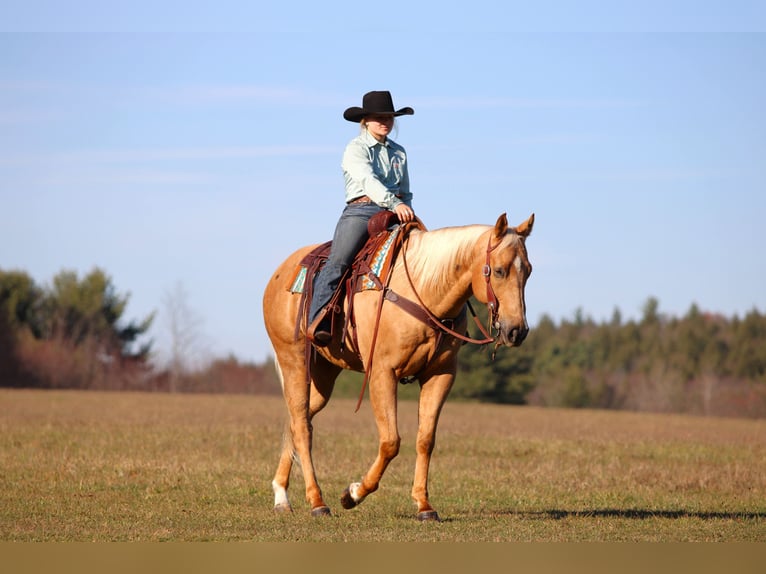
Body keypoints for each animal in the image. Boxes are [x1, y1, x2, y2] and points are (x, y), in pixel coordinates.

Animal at [262, 212, 534, 521]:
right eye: (499, 271)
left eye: (528, 270)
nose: (517, 331)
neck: (424, 291)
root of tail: (279, 274)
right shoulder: (383, 373)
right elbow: (391, 441)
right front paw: (352, 494)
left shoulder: (440, 375)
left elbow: (425, 439)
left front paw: (424, 505)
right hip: (294, 362)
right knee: (302, 428)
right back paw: (317, 502)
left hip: (322, 375)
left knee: (299, 421)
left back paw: (282, 496)